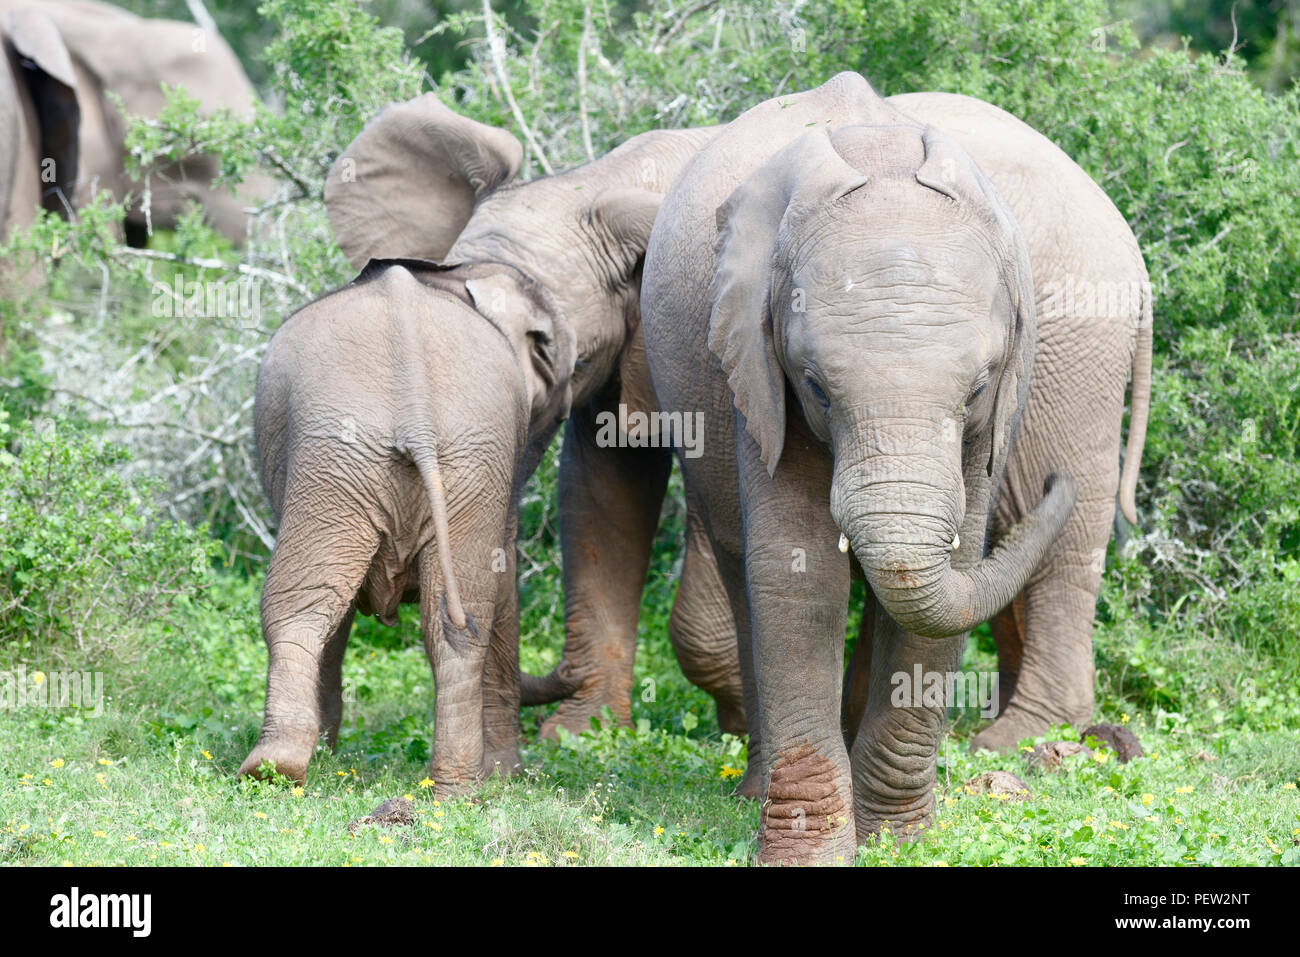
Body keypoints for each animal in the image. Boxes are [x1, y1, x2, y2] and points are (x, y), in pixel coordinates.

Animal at [639, 74, 1076, 863]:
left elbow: (951, 567)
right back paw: (752, 791)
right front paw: (809, 851)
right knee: (742, 568)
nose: (1059, 481)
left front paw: (899, 841)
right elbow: (798, 571)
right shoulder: (757, 372)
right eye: (815, 385)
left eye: (977, 388)